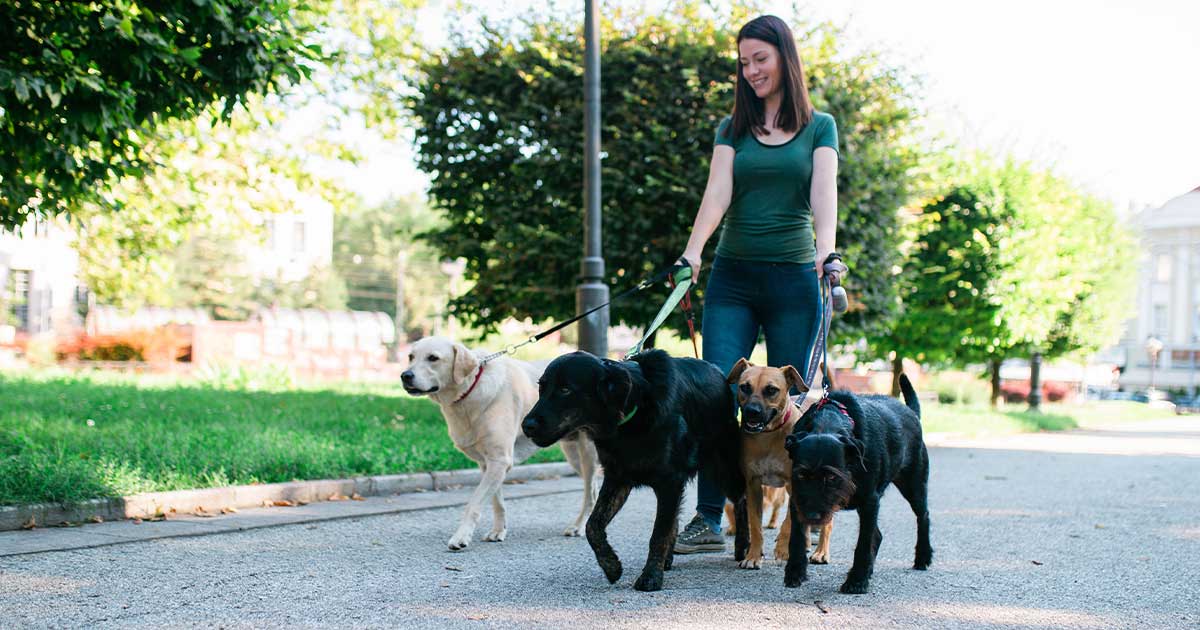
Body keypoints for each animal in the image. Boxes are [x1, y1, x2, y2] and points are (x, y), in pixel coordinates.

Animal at [403, 336, 600, 547]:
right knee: (594, 489)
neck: (470, 389)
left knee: (590, 493)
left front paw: (461, 536)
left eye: (433, 358)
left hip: (587, 454)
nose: (405, 376)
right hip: (574, 456)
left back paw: (579, 526)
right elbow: (497, 503)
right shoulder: (489, 463)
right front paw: (498, 531)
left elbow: (474, 503)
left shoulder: (499, 460)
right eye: (410, 357)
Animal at [520, 348, 744, 590]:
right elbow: (592, 525)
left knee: (742, 502)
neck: (633, 413)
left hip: (724, 470)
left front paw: (651, 576)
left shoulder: (669, 482)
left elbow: (658, 533)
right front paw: (611, 565)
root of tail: (719, 374)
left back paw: (745, 548)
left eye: (565, 389)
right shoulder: (618, 479)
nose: (526, 426)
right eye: (541, 387)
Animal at [724, 355, 830, 566]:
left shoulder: (794, 483)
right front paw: (753, 556)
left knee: (827, 524)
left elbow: (789, 520)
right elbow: (755, 525)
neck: (769, 435)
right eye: (744, 387)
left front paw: (782, 549)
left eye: (771, 390)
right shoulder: (753, 486)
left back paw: (821, 552)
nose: (752, 411)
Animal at [782, 374, 931, 595]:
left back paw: (923, 556)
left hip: (914, 485)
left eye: (832, 477)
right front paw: (795, 571)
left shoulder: (870, 502)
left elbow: (864, 543)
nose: (812, 517)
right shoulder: (797, 500)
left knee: (923, 516)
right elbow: (797, 538)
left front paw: (857, 581)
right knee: (879, 535)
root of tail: (911, 412)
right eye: (801, 474)